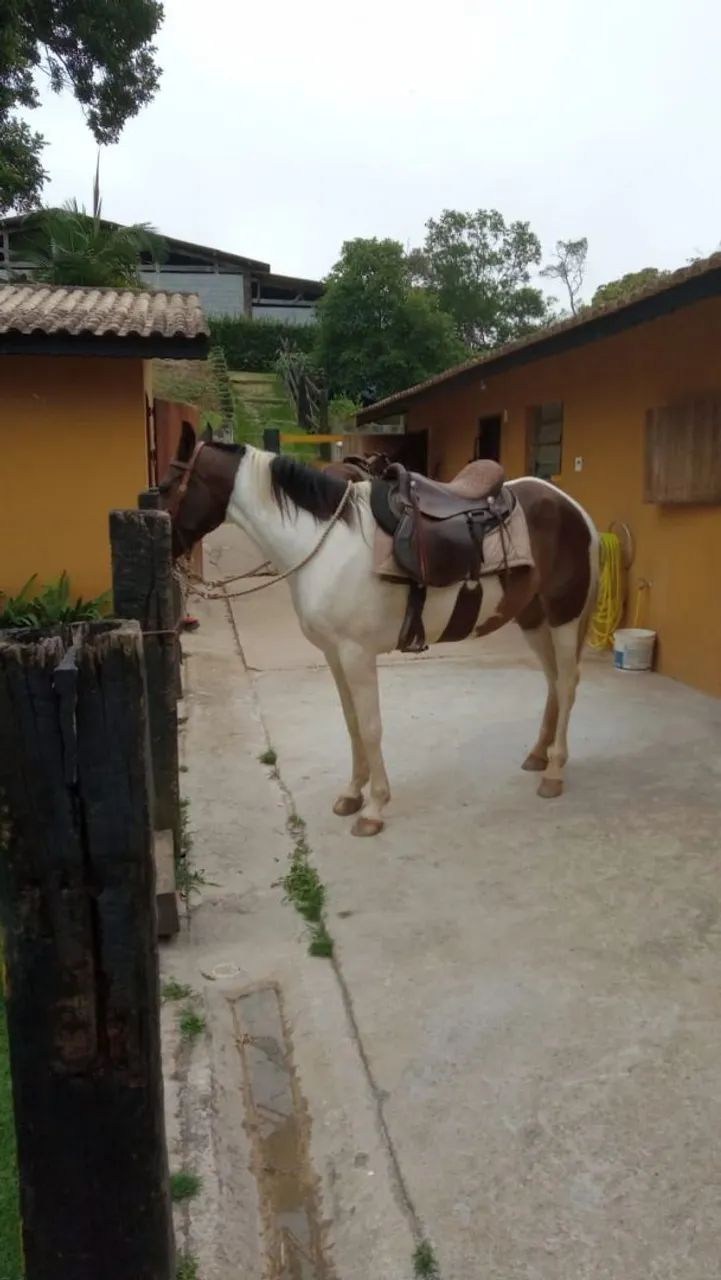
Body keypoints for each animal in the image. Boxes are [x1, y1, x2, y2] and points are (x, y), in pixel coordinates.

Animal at [161, 423, 599, 837]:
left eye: (165, 486)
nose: (167, 552)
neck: (325, 545)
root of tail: (573, 508)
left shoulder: (357, 653)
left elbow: (371, 729)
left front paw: (373, 809)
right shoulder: (334, 654)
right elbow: (352, 723)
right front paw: (352, 795)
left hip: (564, 615)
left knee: (568, 683)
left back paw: (554, 772)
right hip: (533, 619)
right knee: (554, 682)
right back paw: (538, 755)